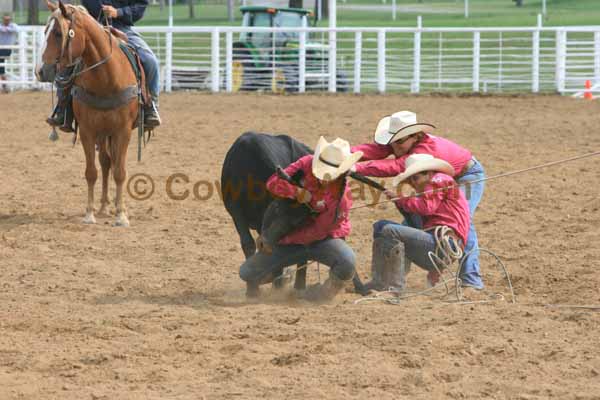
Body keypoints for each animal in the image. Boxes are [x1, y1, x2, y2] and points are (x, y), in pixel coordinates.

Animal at [36, 1, 141, 227]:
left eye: (58, 33)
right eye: (45, 30)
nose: (39, 71)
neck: (107, 79)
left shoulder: (123, 131)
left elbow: (120, 172)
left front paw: (121, 215)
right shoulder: (87, 131)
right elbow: (91, 172)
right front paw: (90, 213)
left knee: (112, 163)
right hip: (102, 133)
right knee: (105, 162)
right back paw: (103, 207)